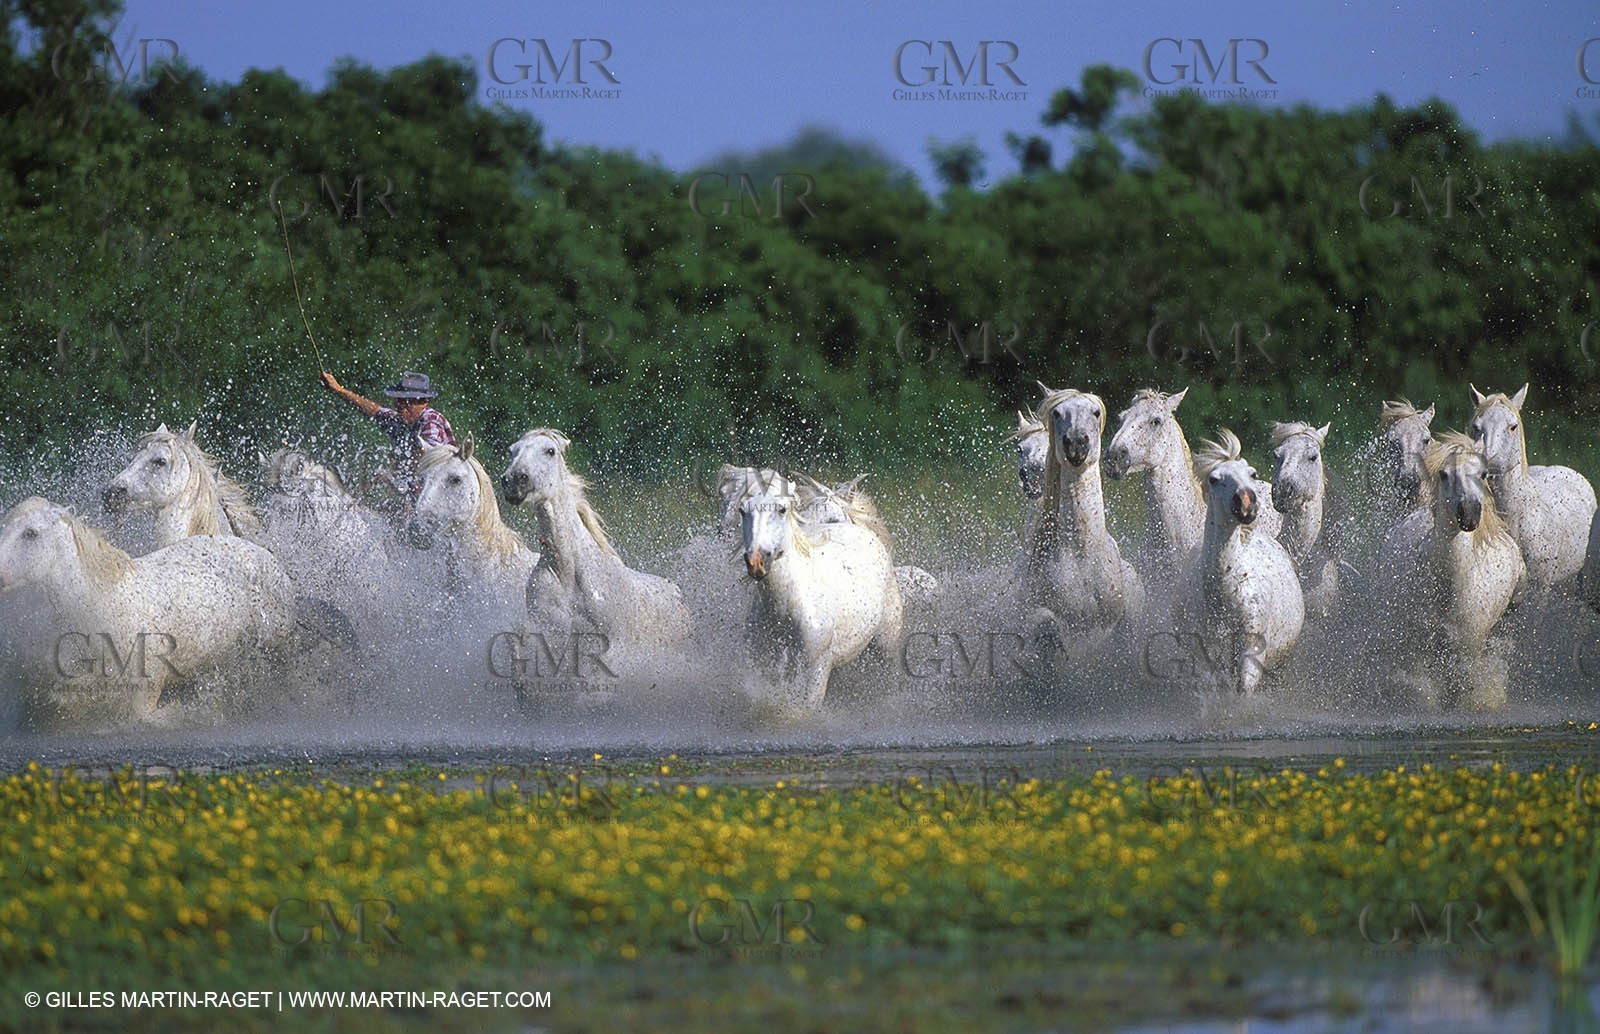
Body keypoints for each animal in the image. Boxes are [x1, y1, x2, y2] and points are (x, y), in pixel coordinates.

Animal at [0, 497, 297, 722]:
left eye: (30, 533)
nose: (0, 576)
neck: (105, 605)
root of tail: (267, 556)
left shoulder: (150, 679)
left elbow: (147, 717)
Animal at [733, 474, 903, 714]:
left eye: (782, 509)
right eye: (742, 510)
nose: (756, 560)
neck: (785, 606)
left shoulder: (816, 669)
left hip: (887, 642)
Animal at [1174, 430, 1304, 695]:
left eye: (1252, 474)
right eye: (1214, 479)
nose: (1246, 502)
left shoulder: (1251, 652)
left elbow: (1243, 690)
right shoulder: (1204, 656)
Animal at [1388, 434, 1526, 709]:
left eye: (1483, 474)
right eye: (1443, 474)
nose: (1470, 513)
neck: (1450, 588)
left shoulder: (1469, 648)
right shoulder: (1420, 647)